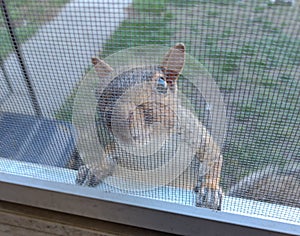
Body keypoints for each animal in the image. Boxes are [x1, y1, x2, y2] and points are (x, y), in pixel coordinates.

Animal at [76, 44, 224, 210]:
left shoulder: (193, 132)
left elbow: (212, 155)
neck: (154, 143)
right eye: (99, 93)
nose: (114, 118)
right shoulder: (120, 148)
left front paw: (210, 189)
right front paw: (96, 169)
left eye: (161, 83)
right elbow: (108, 152)